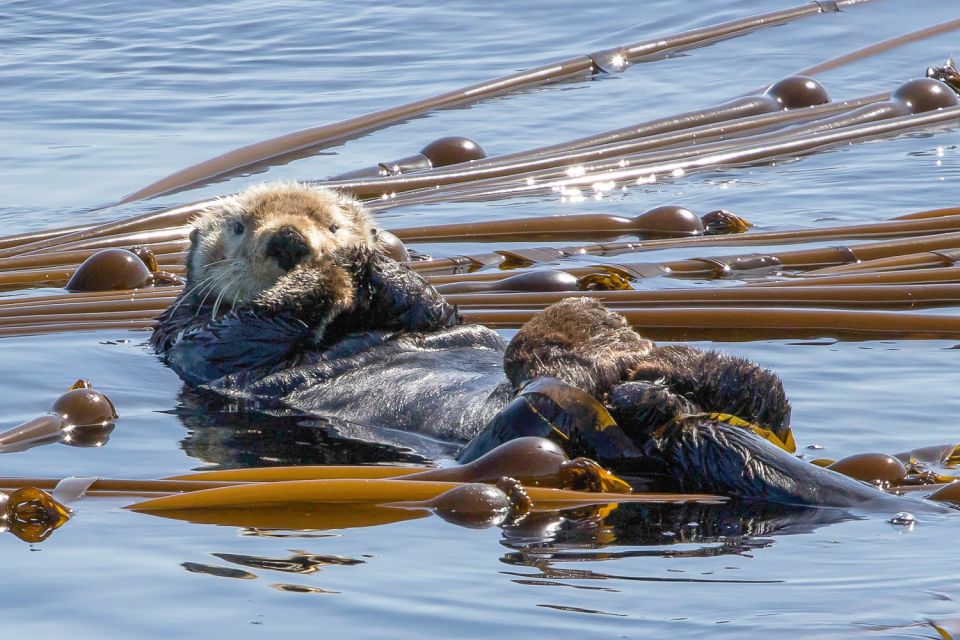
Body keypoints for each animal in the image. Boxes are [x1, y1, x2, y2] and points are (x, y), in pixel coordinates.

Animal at [156, 181, 936, 510]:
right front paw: (328, 277)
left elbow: (427, 308)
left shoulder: (428, 316)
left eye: (330, 220)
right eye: (239, 227)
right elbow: (244, 332)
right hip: (535, 425)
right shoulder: (198, 342)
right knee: (569, 399)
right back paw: (594, 358)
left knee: (758, 398)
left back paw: (652, 355)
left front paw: (373, 260)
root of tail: (675, 423)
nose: (292, 242)